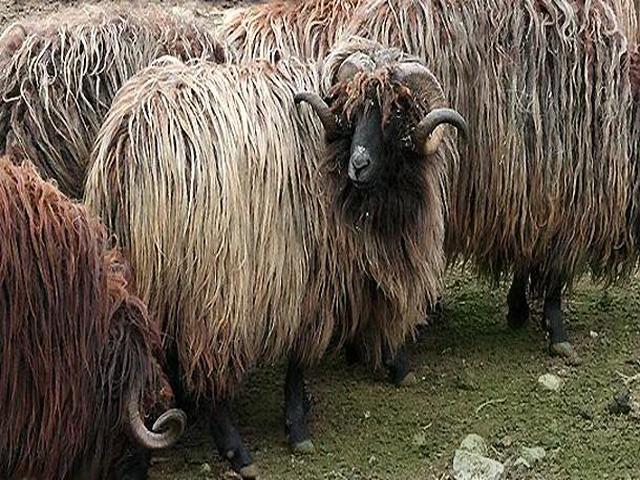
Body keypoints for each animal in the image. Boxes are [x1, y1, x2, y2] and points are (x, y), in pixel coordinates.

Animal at [84, 38, 467, 478]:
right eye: (354, 112)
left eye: (396, 113)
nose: (359, 165)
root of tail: (126, 145)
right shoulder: (307, 280)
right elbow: (298, 361)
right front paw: (298, 427)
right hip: (211, 287)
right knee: (206, 375)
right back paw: (237, 452)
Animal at [345, 0, 638, 362]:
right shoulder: (565, 202)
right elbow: (554, 276)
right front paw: (557, 333)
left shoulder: (533, 202)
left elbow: (527, 258)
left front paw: (518, 309)